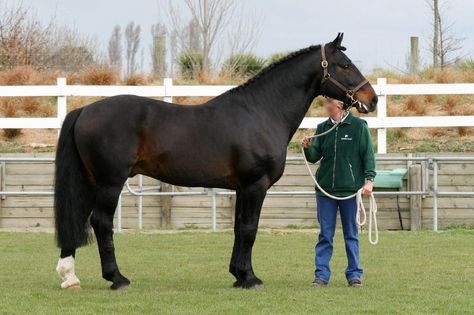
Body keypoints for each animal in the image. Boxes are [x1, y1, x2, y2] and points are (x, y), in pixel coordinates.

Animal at [53, 32, 378, 292]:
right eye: (344, 65)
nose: (372, 99)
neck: (262, 111)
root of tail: (84, 110)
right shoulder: (255, 185)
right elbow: (249, 229)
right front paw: (250, 279)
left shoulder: (242, 188)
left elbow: (238, 229)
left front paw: (238, 275)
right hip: (110, 183)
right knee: (101, 222)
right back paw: (117, 279)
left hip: (90, 182)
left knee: (77, 218)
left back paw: (70, 276)